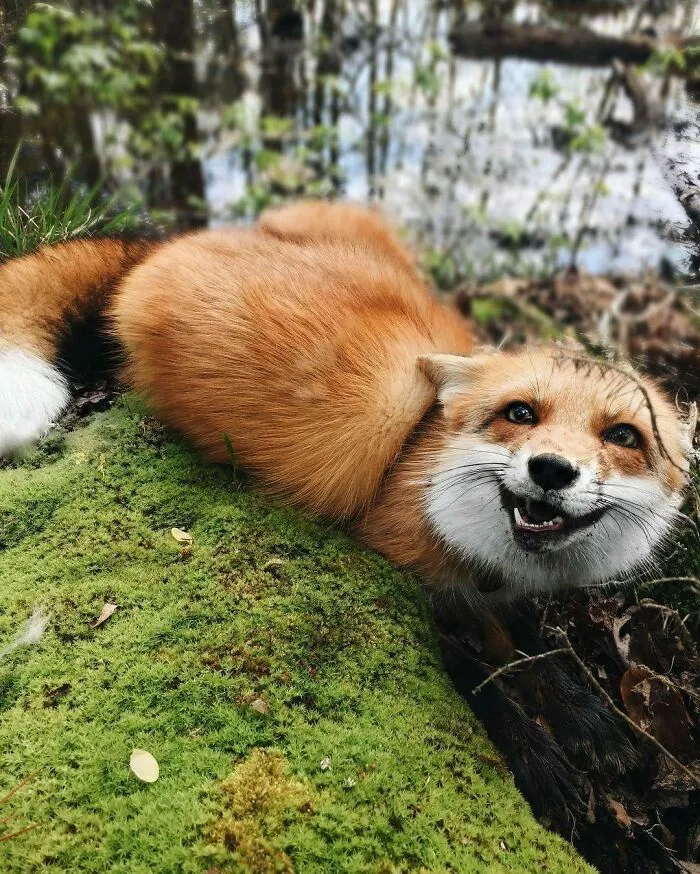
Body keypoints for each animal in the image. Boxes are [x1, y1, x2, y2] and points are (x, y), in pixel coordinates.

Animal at [0, 201, 694, 812]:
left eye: (624, 436)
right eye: (520, 413)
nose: (551, 470)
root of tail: (170, 241)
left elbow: (531, 647)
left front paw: (586, 714)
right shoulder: (398, 568)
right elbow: (480, 675)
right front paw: (539, 755)